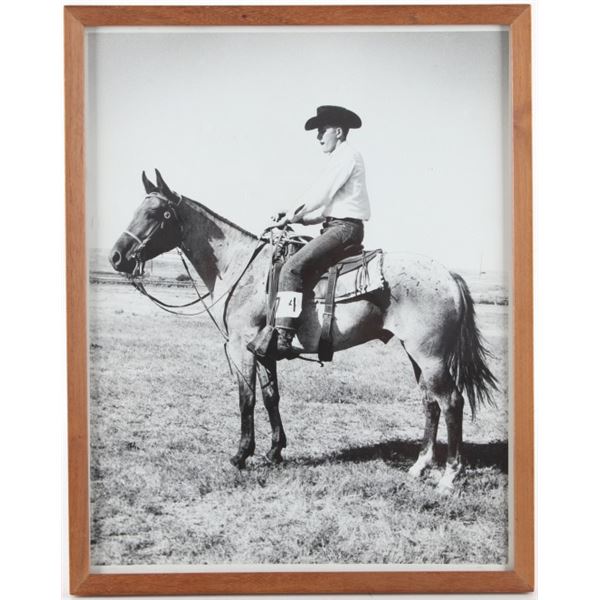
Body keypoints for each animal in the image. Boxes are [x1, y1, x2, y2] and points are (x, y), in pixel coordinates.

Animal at [108, 169, 496, 492]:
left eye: (156, 214)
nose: (115, 257)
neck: (241, 269)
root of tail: (449, 275)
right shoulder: (263, 351)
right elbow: (271, 397)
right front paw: (274, 452)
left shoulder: (240, 348)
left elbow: (247, 399)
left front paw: (241, 455)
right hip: (417, 356)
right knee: (430, 403)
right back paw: (419, 467)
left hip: (430, 356)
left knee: (451, 402)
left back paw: (449, 476)